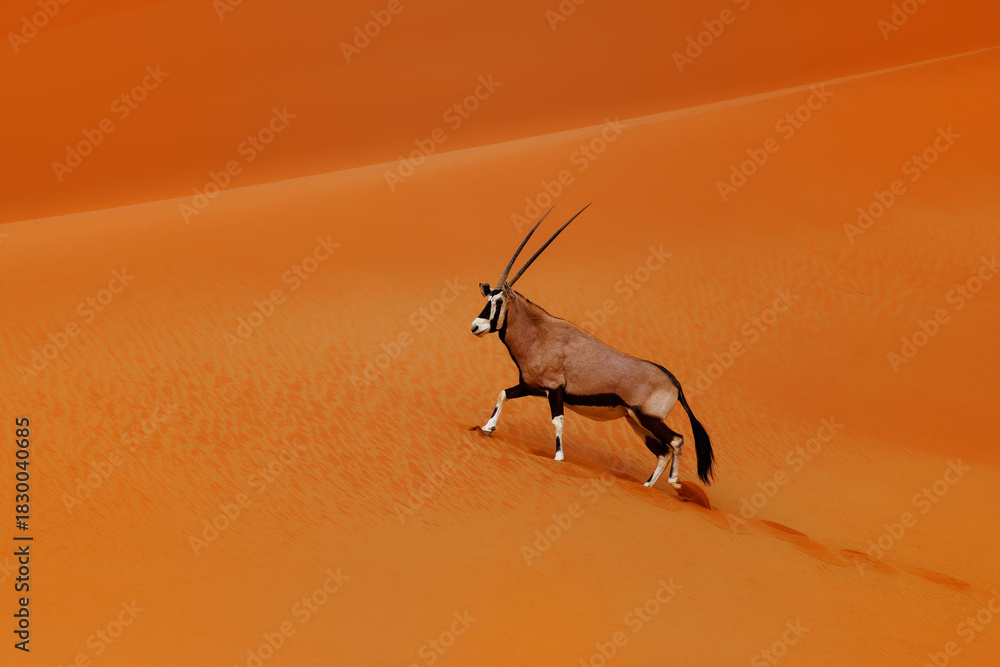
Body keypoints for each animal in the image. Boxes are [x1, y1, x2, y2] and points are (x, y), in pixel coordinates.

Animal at [471, 205, 714, 490]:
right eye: (487, 298)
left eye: (498, 301)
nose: (476, 326)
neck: (539, 334)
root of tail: (674, 382)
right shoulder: (531, 386)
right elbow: (503, 393)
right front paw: (488, 428)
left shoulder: (554, 390)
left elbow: (558, 421)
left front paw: (559, 457)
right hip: (636, 421)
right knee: (663, 451)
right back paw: (646, 487)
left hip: (649, 418)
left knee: (676, 440)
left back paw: (675, 482)